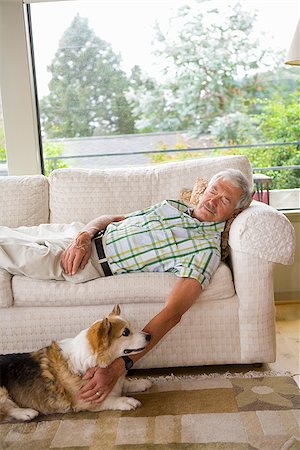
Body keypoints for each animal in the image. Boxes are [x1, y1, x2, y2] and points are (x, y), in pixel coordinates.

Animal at [0, 306, 151, 422]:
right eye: (125, 332)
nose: (149, 336)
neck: (92, 360)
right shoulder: (85, 401)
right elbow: (110, 400)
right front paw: (126, 401)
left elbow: (125, 383)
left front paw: (140, 382)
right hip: (2, 391)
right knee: (5, 410)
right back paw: (26, 412)